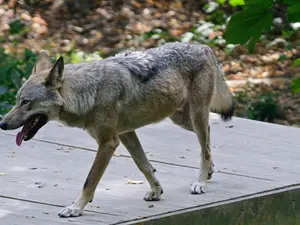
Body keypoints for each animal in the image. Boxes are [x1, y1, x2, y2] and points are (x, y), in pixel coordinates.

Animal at [0, 41, 234, 217]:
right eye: (16, 101)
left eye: (26, 102)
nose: (2, 124)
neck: (89, 92)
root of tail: (204, 46)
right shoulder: (125, 134)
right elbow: (144, 165)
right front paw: (156, 191)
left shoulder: (108, 143)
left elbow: (89, 181)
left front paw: (75, 208)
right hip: (182, 119)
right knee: (208, 137)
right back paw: (210, 171)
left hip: (195, 116)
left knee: (204, 146)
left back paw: (201, 182)